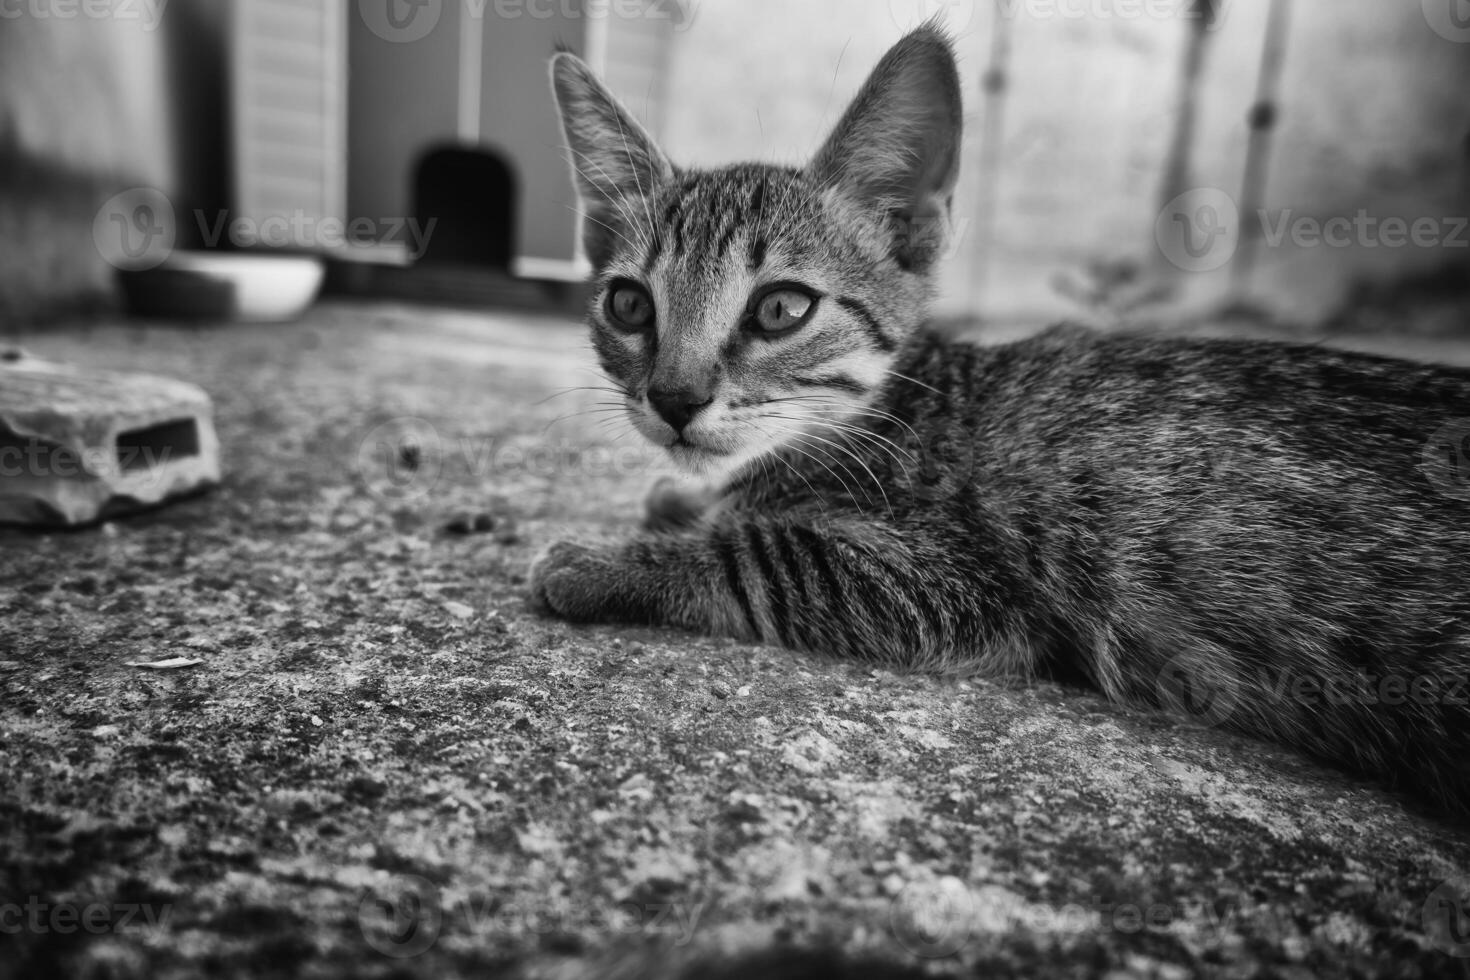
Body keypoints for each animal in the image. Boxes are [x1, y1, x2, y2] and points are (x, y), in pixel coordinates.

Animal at [535, 24, 1470, 822]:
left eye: (780, 310)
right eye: (629, 305)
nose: (674, 398)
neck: (902, 407)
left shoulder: (962, 581)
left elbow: (770, 559)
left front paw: (611, 561)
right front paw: (686, 497)